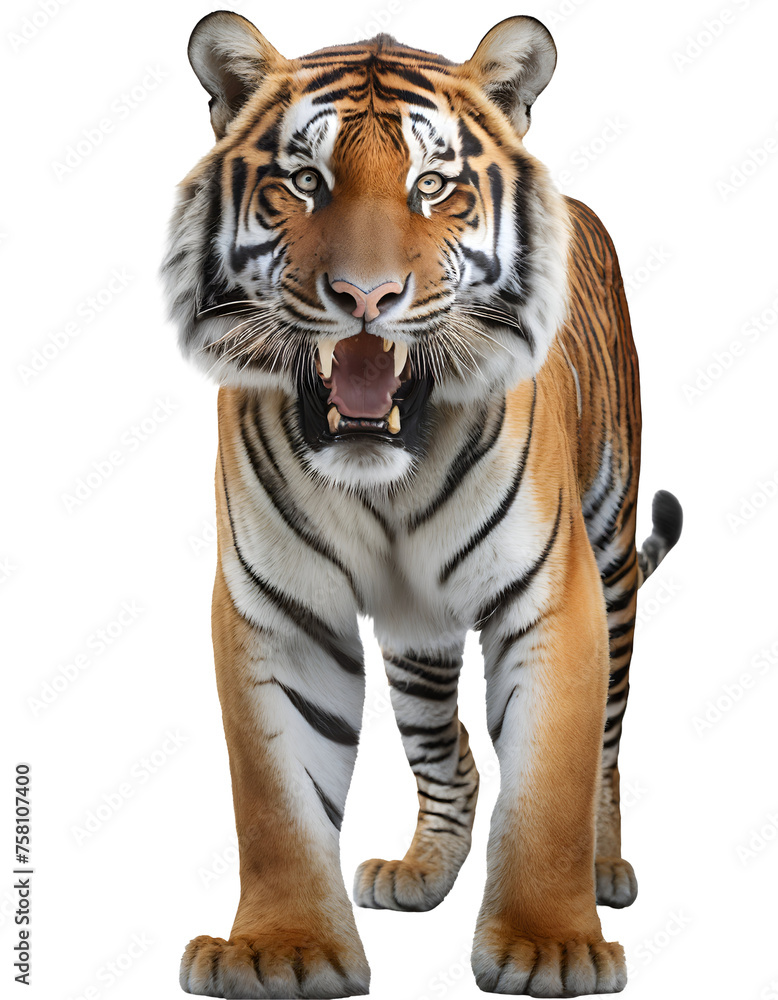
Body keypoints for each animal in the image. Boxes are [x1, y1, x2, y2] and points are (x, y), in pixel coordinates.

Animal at [162, 10, 682, 999]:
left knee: (604, 740)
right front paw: (281, 949)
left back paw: (604, 866)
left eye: (432, 186)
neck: (386, 473)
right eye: (305, 181)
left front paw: (549, 945)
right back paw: (422, 871)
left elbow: (551, 774)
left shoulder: (553, 593)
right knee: (450, 758)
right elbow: (276, 794)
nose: (365, 298)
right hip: (417, 634)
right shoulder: (275, 608)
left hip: (612, 551)